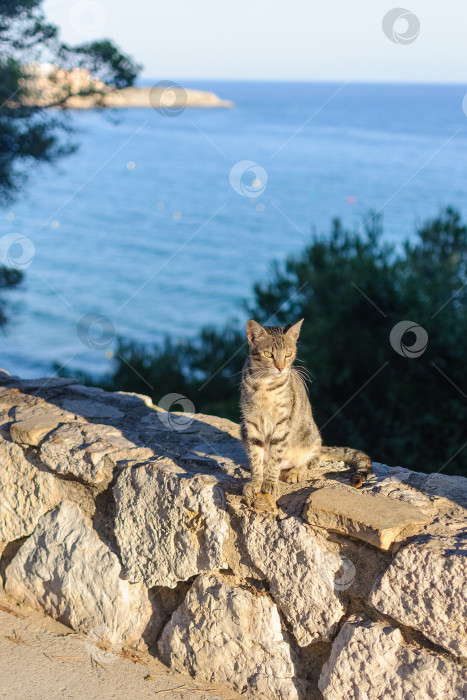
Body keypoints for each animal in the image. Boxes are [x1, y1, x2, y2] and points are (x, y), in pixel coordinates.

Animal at [241, 318, 372, 504]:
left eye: (288, 354)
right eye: (268, 354)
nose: (281, 367)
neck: (265, 385)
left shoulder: (282, 424)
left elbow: (276, 457)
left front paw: (270, 482)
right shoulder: (251, 422)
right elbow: (255, 456)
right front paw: (256, 481)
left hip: (309, 435)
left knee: (312, 459)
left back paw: (296, 471)